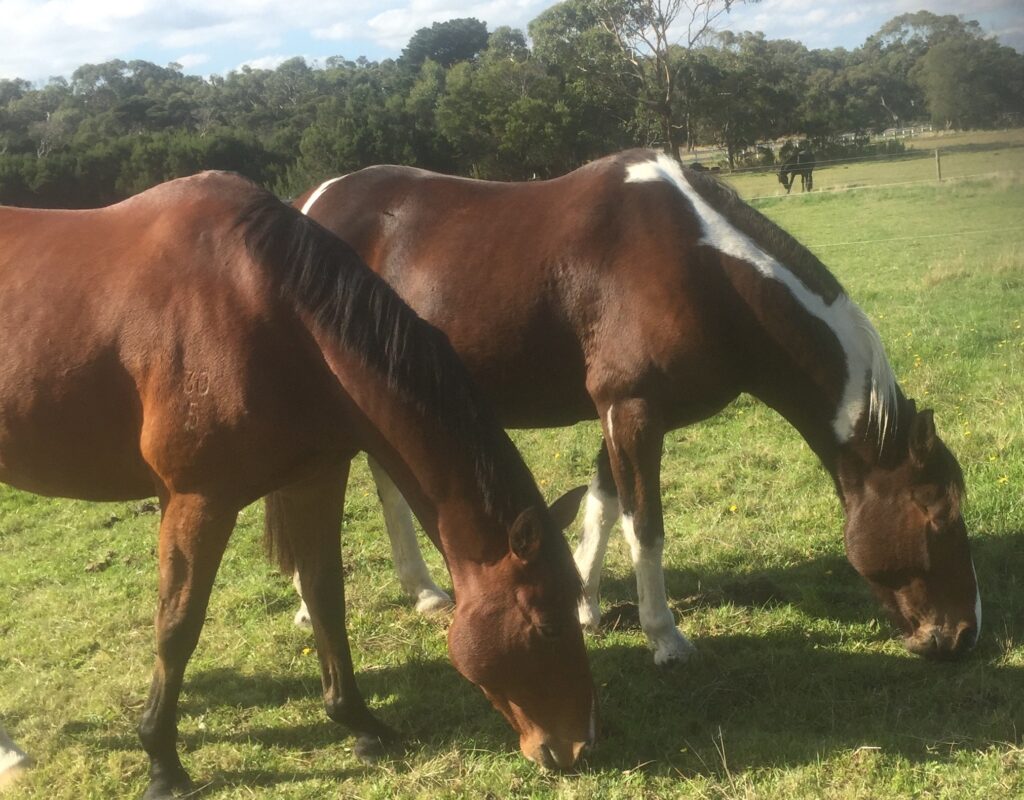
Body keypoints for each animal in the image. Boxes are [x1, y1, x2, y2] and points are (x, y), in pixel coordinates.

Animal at [0, 172, 595, 798]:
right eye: (547, 626)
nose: (577, 745)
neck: (267, 311)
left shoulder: (314, 478)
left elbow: (325, 597)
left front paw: (360, 724)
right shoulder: (197, 502)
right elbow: (177, 628)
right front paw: (163, 762)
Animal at [294, 149, 980, 667]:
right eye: (937, 515)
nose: (965, 634)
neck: (702, 270)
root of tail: (311, 203)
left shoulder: (618, 415)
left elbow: (602, 507)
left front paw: (583, 606)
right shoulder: (634, 412)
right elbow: (643, 524)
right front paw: (665, 637)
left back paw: (424, 592)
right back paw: (309, 603)